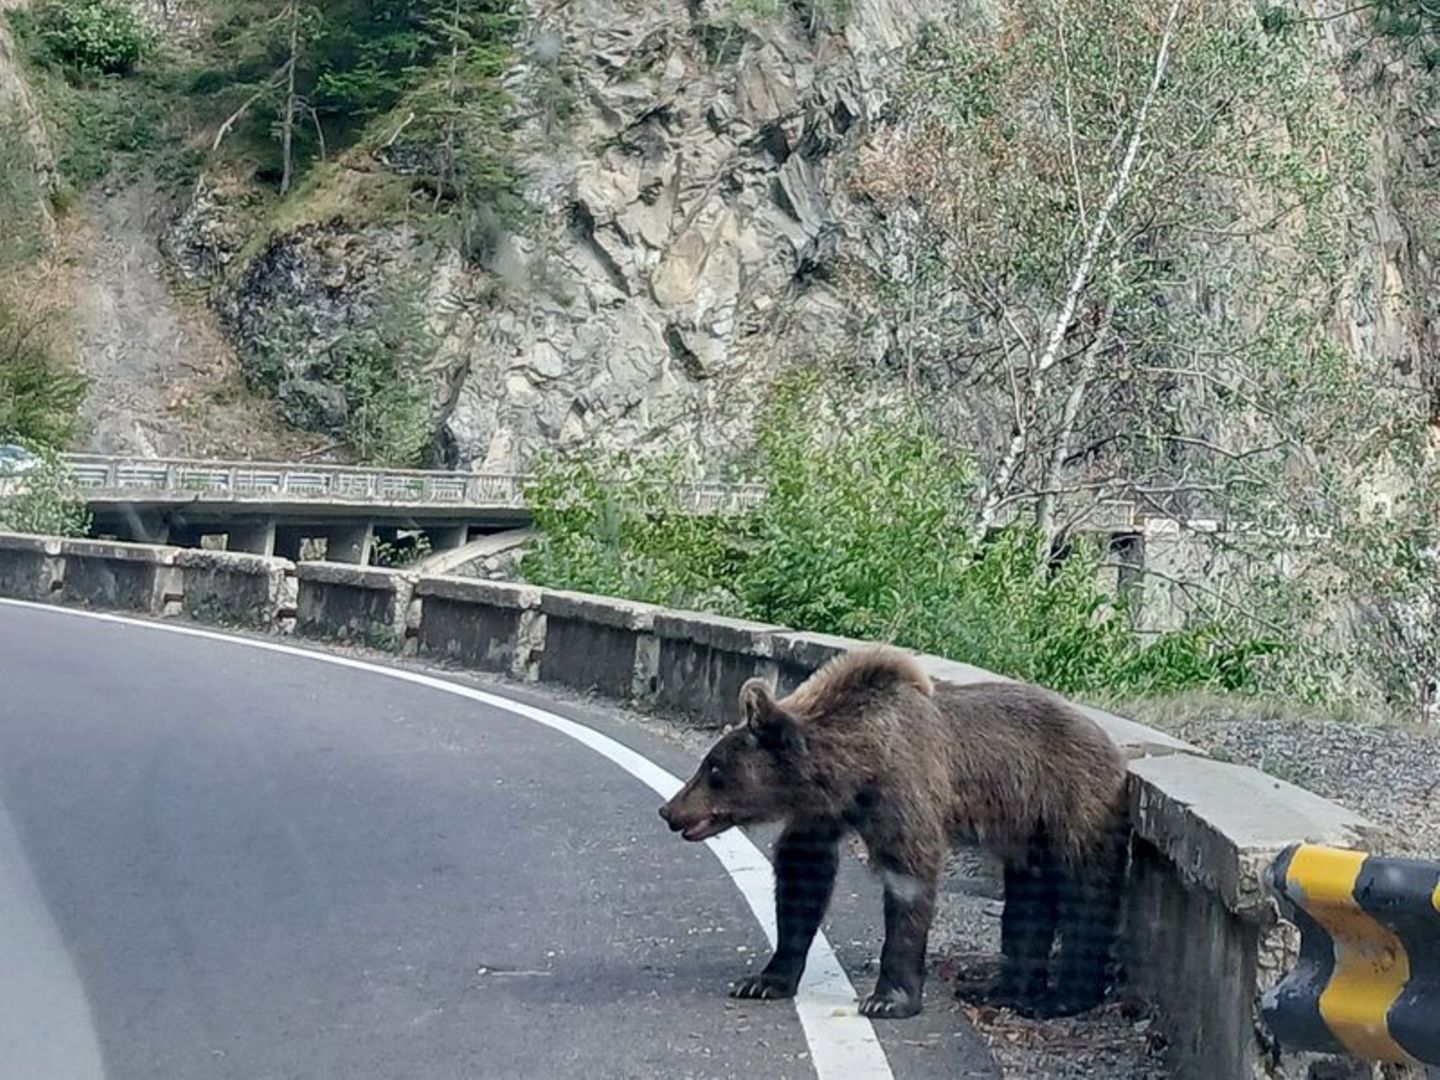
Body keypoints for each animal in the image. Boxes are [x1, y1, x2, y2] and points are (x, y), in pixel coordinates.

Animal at [657, 646, 1129, 1020]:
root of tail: (1112, 746)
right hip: (1026, 831)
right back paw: (1003, 989)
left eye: (713, 769)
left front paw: (888, 998)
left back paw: (1063, 998)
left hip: (1072, 801)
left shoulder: (905, 790)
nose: (669, 810)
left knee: (1085, 893)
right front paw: (764, 979)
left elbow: (908, 878)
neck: (857, 766)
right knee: (1028, 900)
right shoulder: (827, 811)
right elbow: (802, 873)